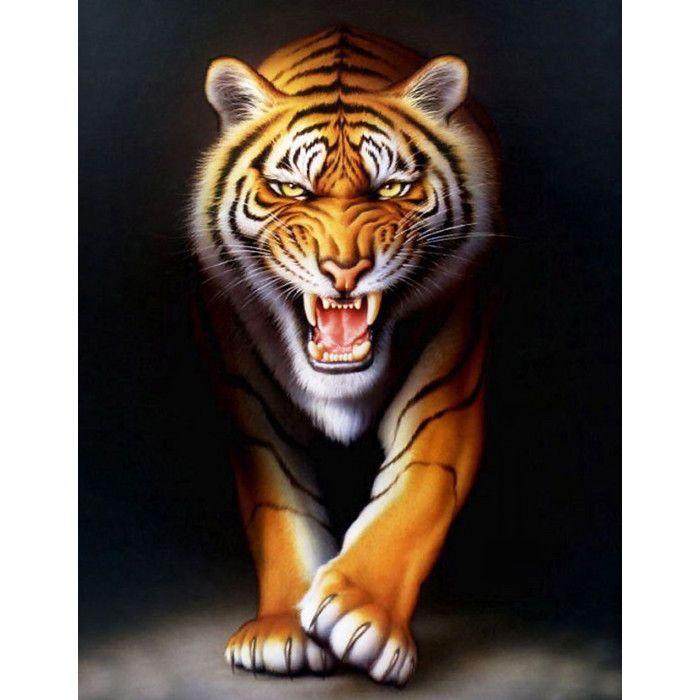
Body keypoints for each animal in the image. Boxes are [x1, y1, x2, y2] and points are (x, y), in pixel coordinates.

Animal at [190, 25, 501, 686]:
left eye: (391, 188)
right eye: (290, 188)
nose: (343, 269)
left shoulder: (449, 388)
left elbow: (417, 494)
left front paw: (362, 615)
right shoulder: (251, 408)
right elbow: (279, 508)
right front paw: (279, 631)